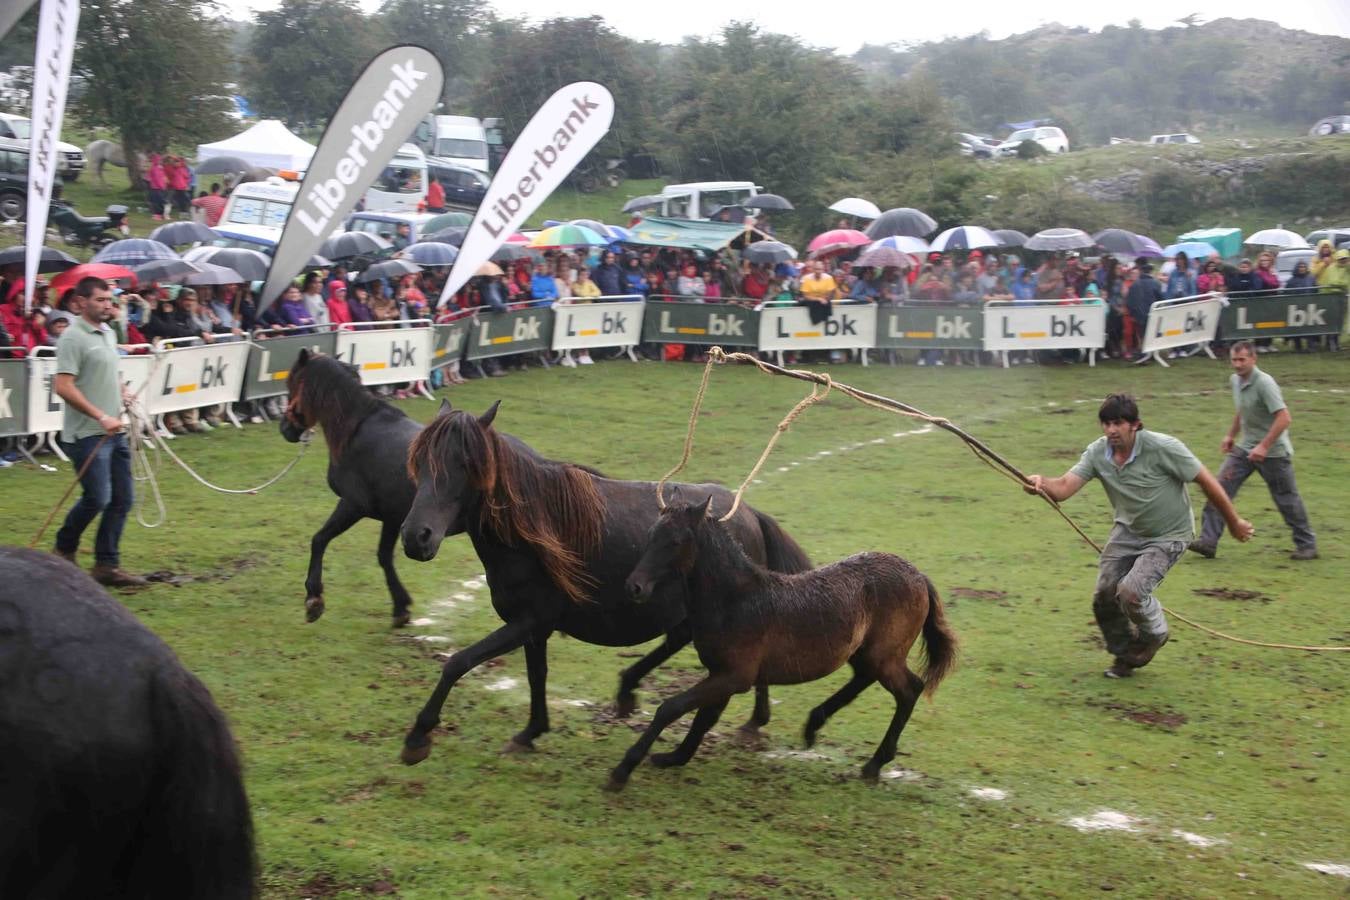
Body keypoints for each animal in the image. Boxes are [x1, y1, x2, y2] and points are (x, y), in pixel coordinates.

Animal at [283, 350, 426, 626]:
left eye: (291, 384)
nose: (286, 429)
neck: (356, 429)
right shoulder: (392, 516)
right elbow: (384, 556)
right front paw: (400, 607)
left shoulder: (354, 504)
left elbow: (319, 539)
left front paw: (314, 599)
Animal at [394, 402, 810, 766]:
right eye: (419, 463)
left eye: (466, 465)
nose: (416, 537)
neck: (534, 530)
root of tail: (750, 514)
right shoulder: (534, 627)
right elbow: (536, 676)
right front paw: (531, 732)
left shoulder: (527, 622)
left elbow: (458, 663)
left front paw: (418, 738)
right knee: (678, 638)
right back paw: (631, 691)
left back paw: (751, 721)